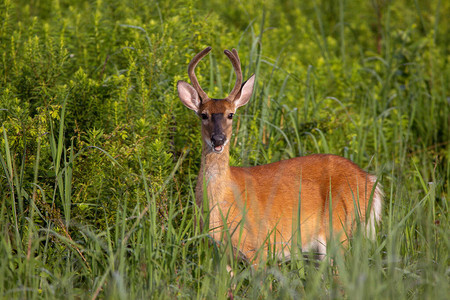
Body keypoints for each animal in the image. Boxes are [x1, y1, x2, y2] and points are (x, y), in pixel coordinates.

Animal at [178, 47, 382, 264]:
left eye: (230, 114)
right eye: (204, 115)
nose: (218, 139)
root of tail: (370, 180)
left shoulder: (258, 247)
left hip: (340, 228)